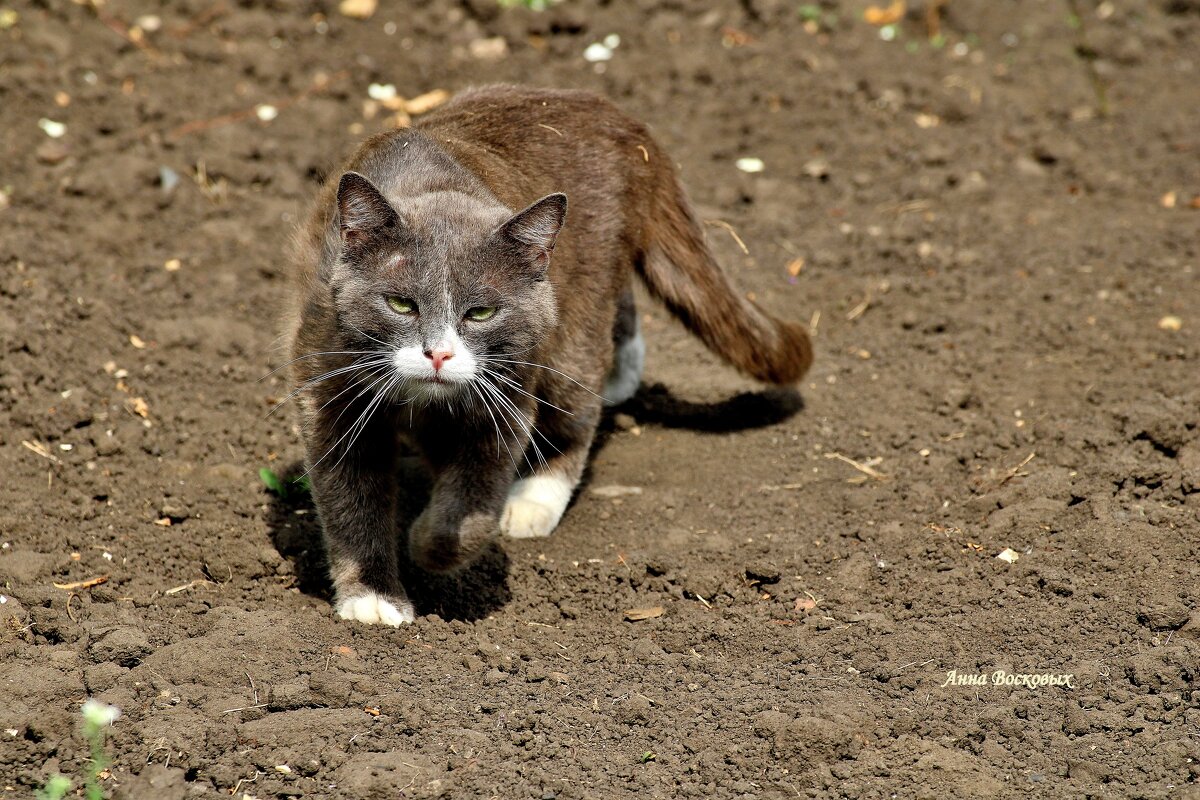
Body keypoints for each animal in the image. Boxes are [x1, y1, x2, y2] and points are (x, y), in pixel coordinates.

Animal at [282, 86, 811, 623]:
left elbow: (474, 495)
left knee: (576, 408)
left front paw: (427, 542)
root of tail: (621, 120)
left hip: (574, 320)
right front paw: (372, 601)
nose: (439, 355)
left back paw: (536, 497)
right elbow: (350, 496)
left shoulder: (508, 387)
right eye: (400, 304)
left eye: (482, 312)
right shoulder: (328, 385)